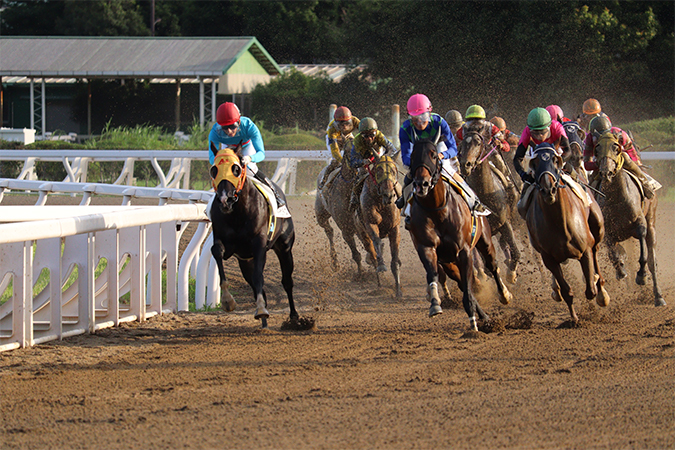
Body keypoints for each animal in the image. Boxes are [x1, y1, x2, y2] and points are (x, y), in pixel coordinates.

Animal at [354, 155, 402, 298]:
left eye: (393, 171)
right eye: (378, 171)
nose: (389, 195)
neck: (381, 202)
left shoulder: (395, 228)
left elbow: (395, 258)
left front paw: (398, 290)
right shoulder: (370, 224)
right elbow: (377, 242)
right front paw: (381, 266)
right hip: (362, 234)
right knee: (373, 253)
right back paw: (379, 283)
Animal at [406, 139, 512, 328]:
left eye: (434, 155)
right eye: (412, 156)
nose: (421, 184)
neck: (438, 210)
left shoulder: (464, 251)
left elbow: (470, 284)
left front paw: (473, 321)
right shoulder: (428, 248)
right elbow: (434, 274)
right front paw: (435, 304)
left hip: (485, 240)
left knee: (492, 265)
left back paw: (504, 295)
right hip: (449, 263)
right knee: (462, 283)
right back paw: (483, 316)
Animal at [524, 142, 612, 322]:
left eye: (555, 160)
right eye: (534, 163)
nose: (548, 189)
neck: (559, 223)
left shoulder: (585, 250)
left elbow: (590, 290)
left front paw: (596, 285)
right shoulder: (549, 258)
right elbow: (567, 291)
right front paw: (574, 318)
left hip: (598, 227)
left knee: (596, 252)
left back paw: (601, 289)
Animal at [596, 131, 664, 306]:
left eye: (616, 147)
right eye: (597, 148)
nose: (606, 172)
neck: (616, 198)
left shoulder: (640, 223)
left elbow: (643, 252)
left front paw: (641, 276)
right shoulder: (609, 233)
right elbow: (615, 255)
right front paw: (621, 270)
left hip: (651, 219)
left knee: (653, 260)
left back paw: (658, 296)